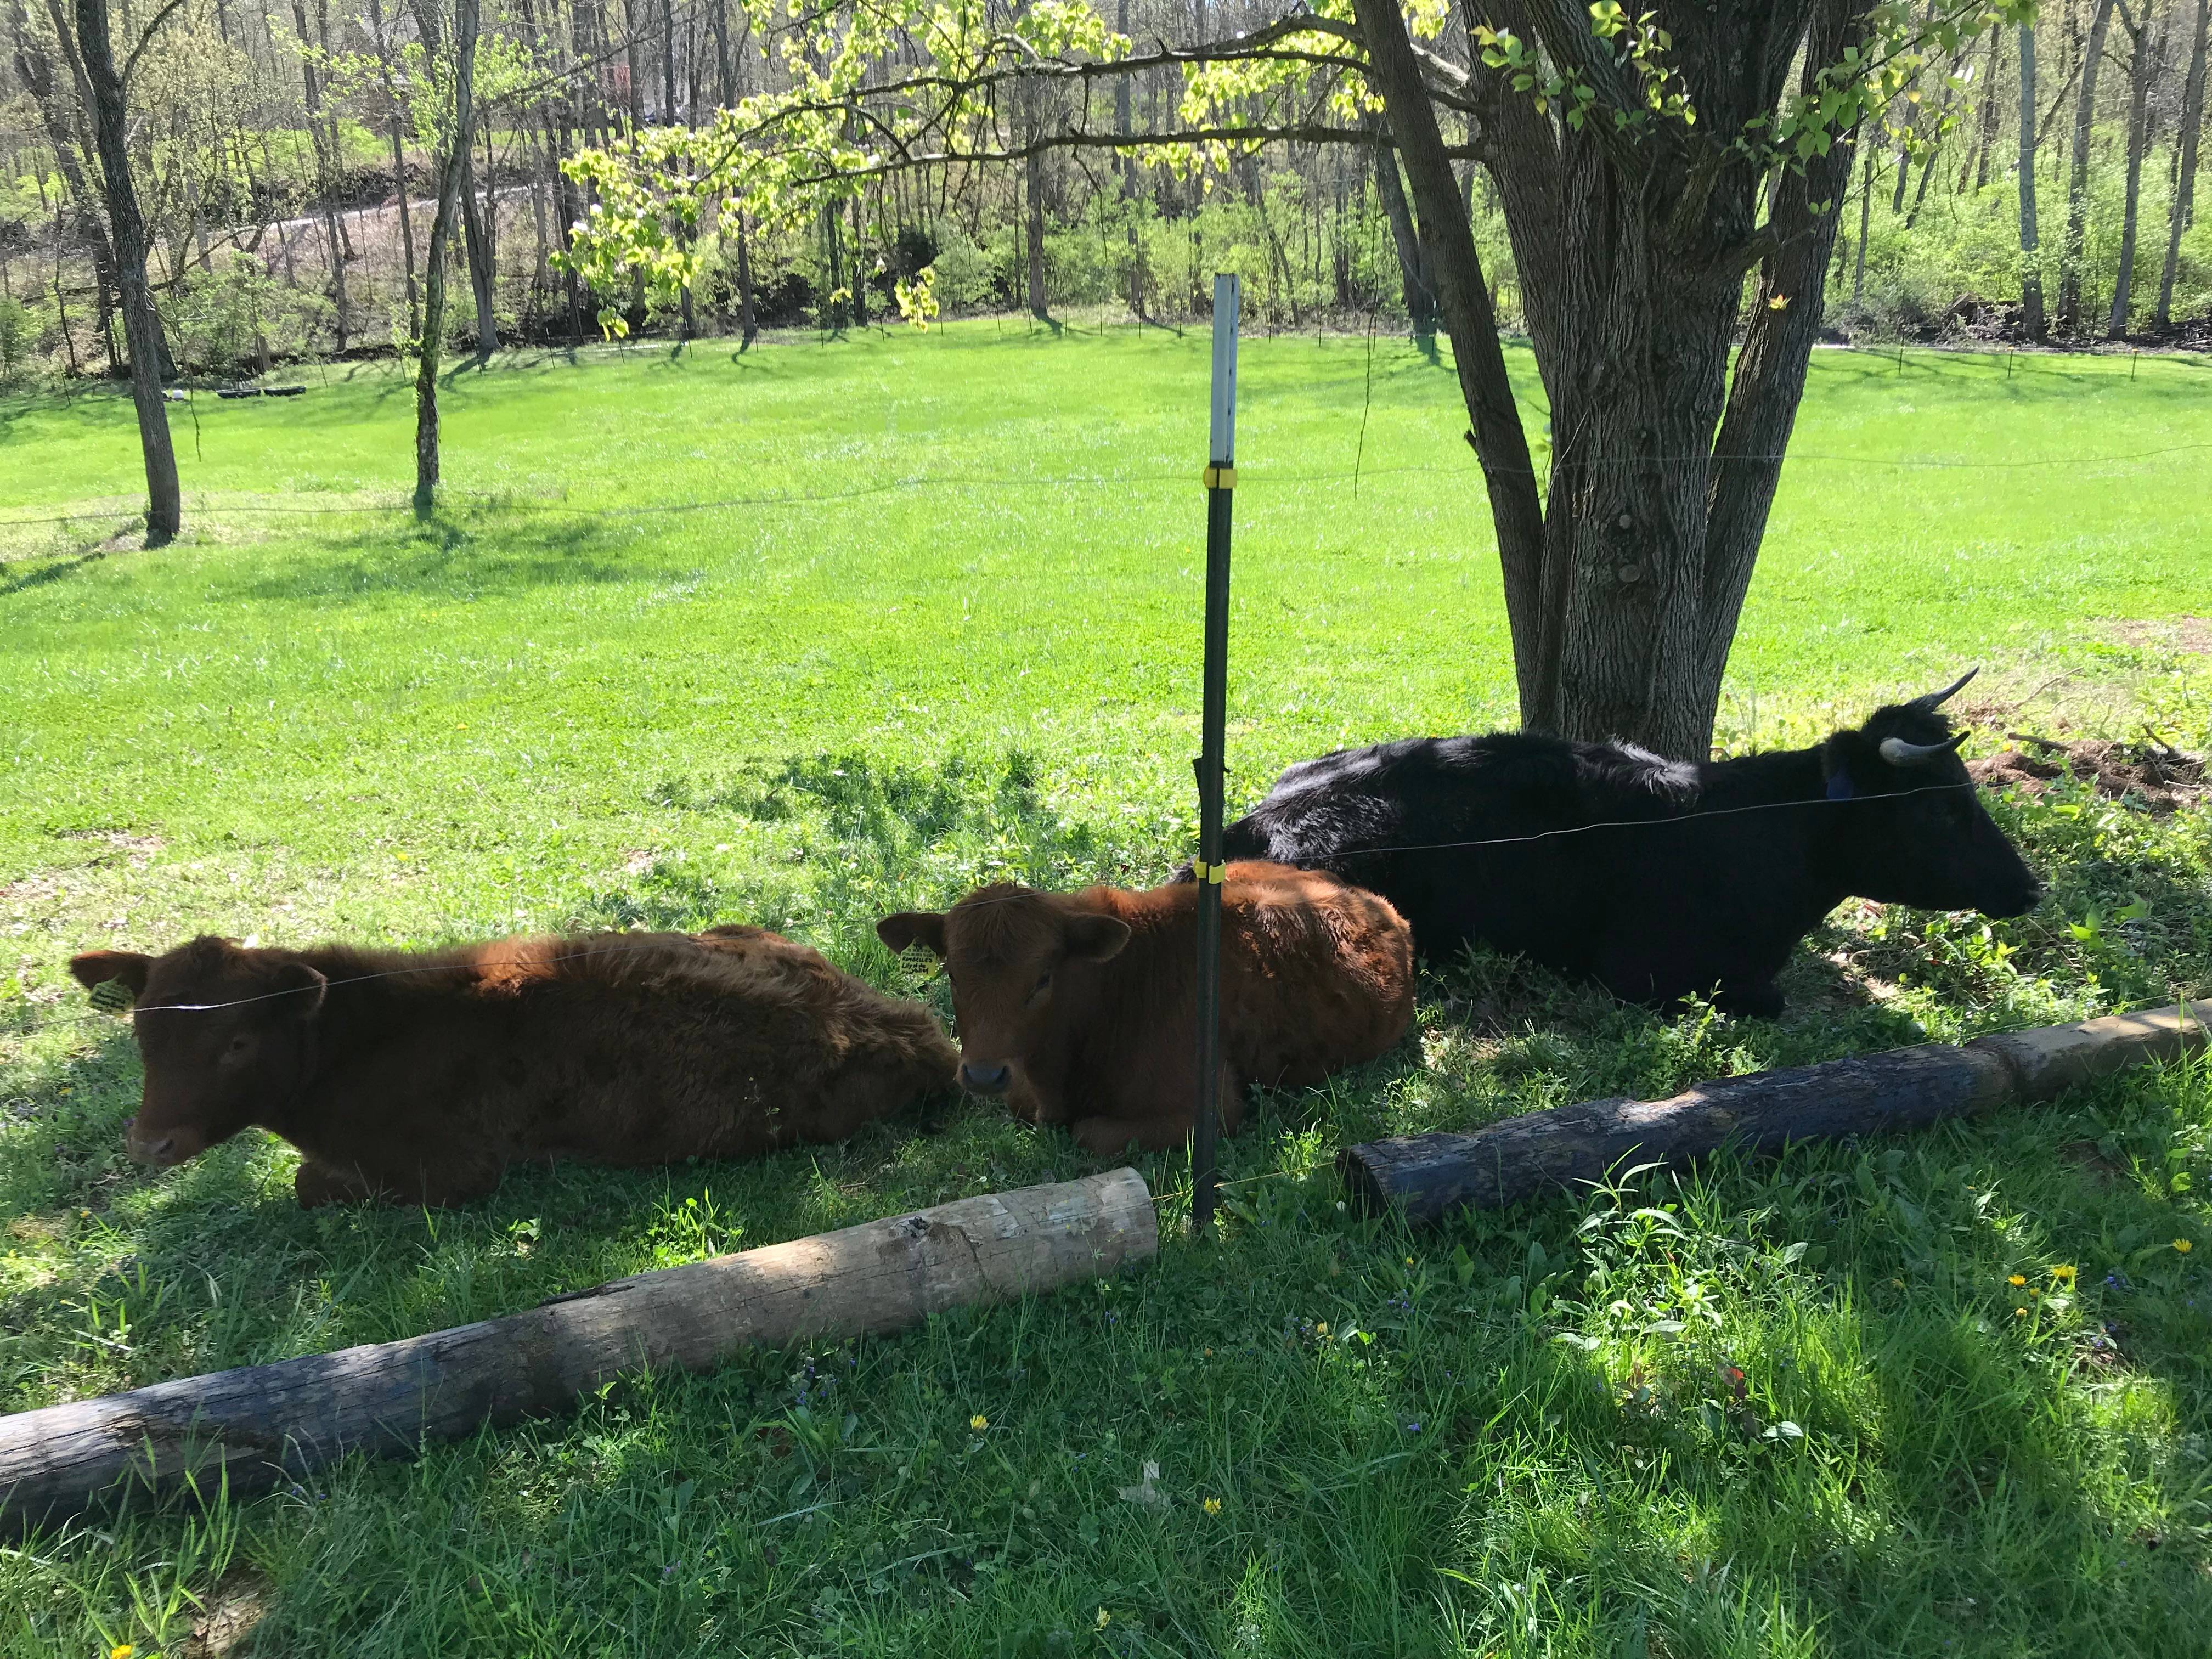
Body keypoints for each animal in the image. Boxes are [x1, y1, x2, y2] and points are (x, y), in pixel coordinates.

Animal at [67, 924, 958, 1207]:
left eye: (238, 1043)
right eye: (142, 1034)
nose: (149, 1144)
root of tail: (911, 1027)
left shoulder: (452, 1173)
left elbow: (306, 1186)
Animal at [875, 861, 1413, 1155]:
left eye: (1043, 978)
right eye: (951, 974)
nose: (984, 1076)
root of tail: (1376, 904)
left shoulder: (1213, 1109)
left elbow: (1088, 1133)